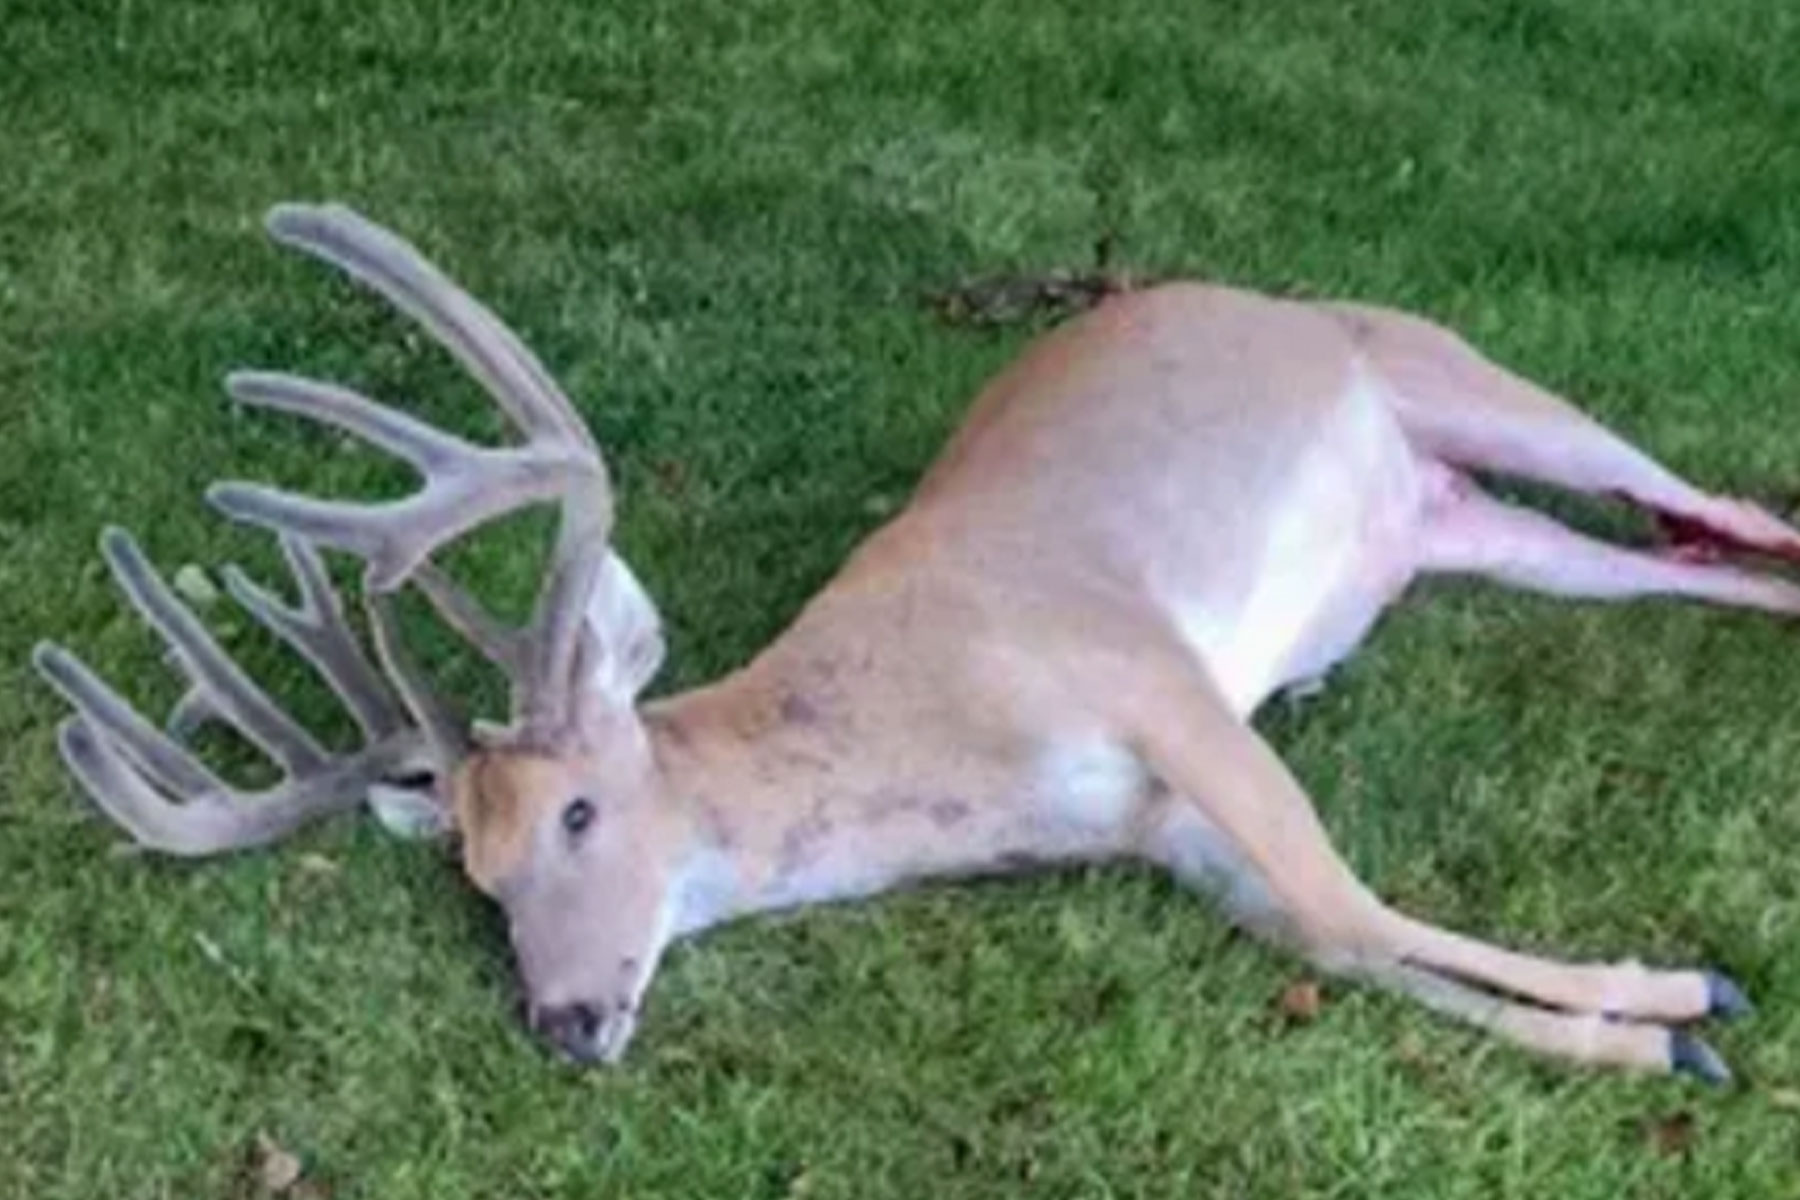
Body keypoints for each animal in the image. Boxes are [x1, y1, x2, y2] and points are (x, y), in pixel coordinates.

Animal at [34, 204, 1799, 1083]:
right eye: (475, 878)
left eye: (583, 811)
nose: (563, 1025)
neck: (941, 751)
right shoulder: (1153, 831)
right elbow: (1335, 940)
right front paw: (1656, 1047)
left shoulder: (1150, 675)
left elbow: (1341, 900)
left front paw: (1684, 991)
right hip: (1468, 529)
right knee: (1674, 561)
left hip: (1462, 374)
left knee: (1699, 496)